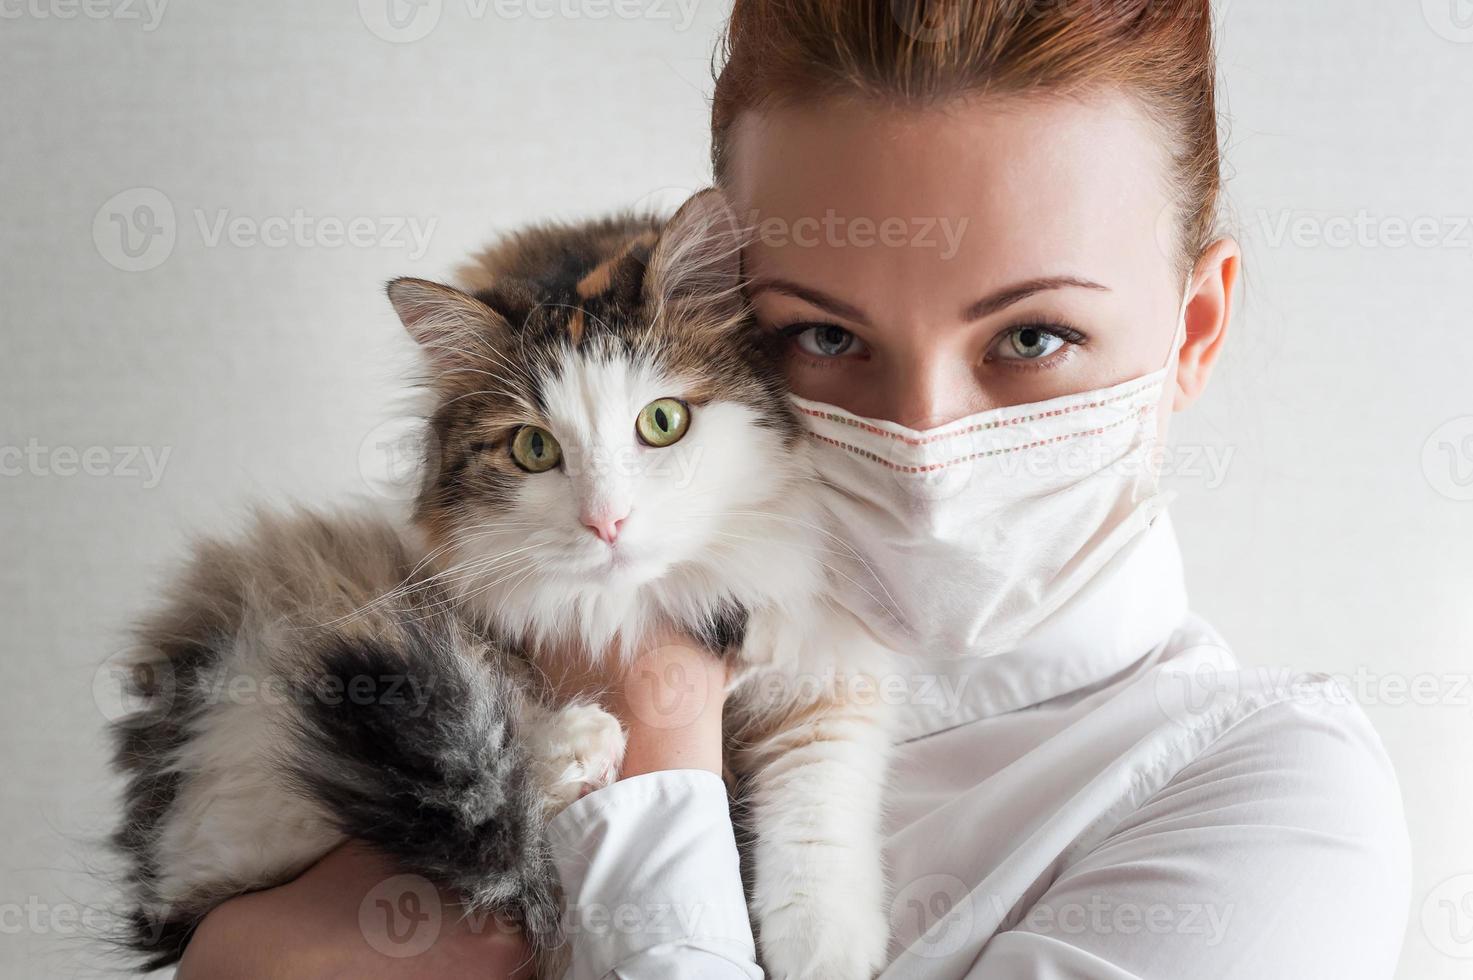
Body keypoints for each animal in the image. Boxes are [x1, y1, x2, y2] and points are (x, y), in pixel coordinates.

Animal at [109, 193, 889, 978]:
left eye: (664, 421)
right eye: (534, 448)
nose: (607, 521)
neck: (636, 606)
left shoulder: (831, 673)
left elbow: (817, 793)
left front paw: (823, 944)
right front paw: (568, 744)